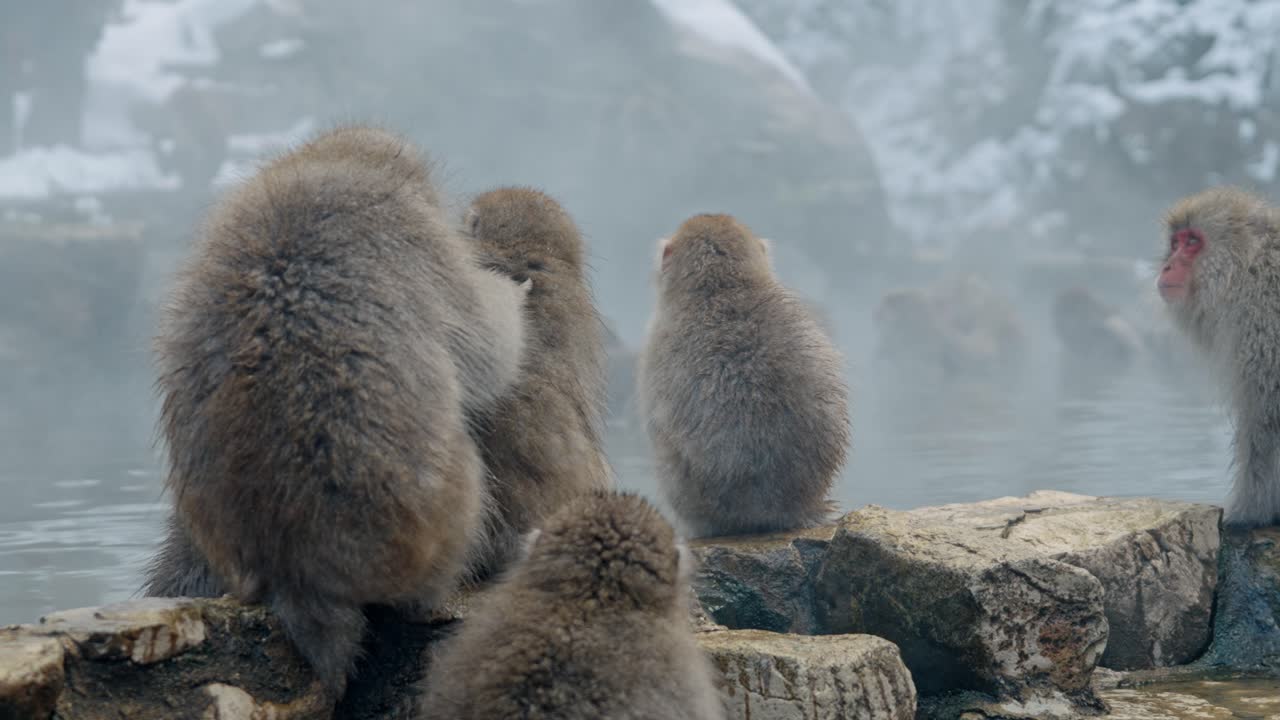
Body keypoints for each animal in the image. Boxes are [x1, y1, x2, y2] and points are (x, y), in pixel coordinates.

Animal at [141, 124, 529, 696]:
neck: (329, 166)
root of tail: (298, 574)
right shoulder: (419, 238)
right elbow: (488, 349)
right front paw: (515, 292)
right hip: (435, 525)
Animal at [1158, 186, 1280, 528]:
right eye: (1175, 243)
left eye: (1193, 241)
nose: (1167, 266)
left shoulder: (1261, 322)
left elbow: (1266, 416)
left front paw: (1249, 512)